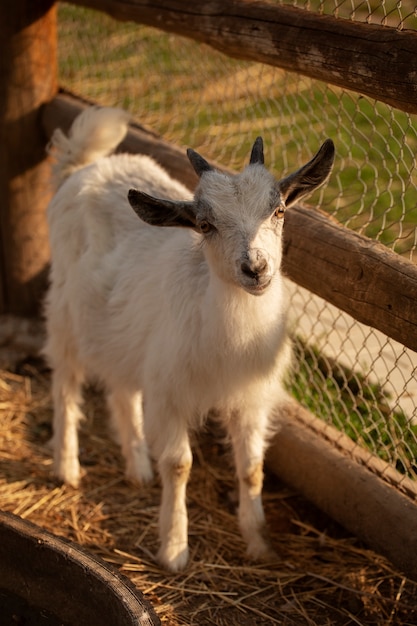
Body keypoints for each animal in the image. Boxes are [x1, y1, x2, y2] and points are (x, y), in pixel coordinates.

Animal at [44, 107, 334, 572]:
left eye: (278, 211)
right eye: (205, 224)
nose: (256, 268)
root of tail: (82, 166)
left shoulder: (249, 398)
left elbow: (252, 469)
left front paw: (259, 544)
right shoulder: (170, 393)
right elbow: (179, 465)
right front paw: (175, 549)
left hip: (123, 330)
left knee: (121, 388)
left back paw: (138, 466)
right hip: (65, 312)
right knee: (65, 383)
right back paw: (67, 467)